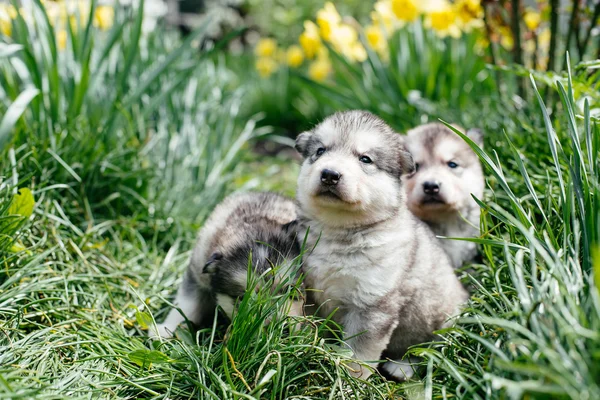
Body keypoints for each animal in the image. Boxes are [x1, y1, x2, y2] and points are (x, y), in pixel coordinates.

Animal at [152, 191, 302, 338]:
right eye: (243, 298)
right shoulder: (197, 276)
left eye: (290, 289)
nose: (281, 331)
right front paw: (167, 328)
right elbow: (186, 303)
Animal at [296, 111, 468, 380]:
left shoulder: (373, 305)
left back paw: (402, 366)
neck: (340, 231)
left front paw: (351, 379)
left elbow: (359, 353)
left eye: (365, 159)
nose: (330, 174)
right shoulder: (313, 289)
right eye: (320, 150)